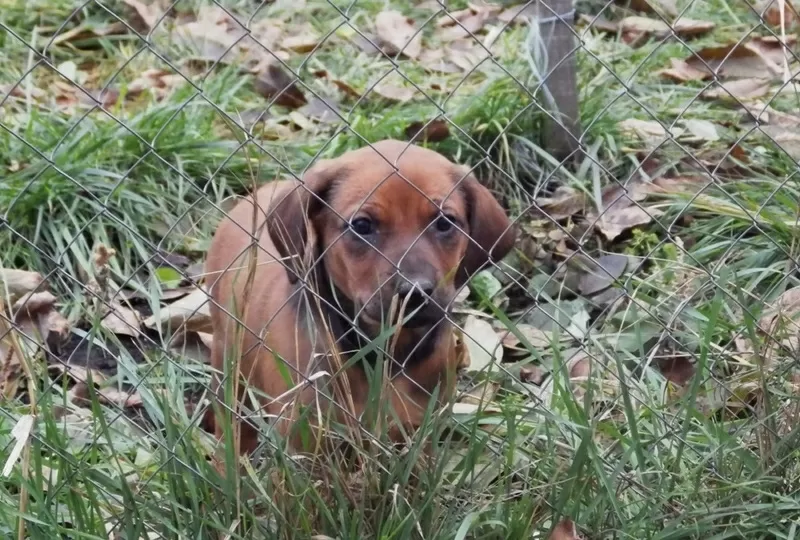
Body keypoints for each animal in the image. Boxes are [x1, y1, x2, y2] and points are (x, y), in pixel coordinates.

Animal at [205, 140, 512, 456]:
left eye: (445, 223)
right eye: (362, 226)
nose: (414, 291)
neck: (387, 353)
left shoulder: (420, 439)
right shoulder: (306, 444)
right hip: (228, 366)